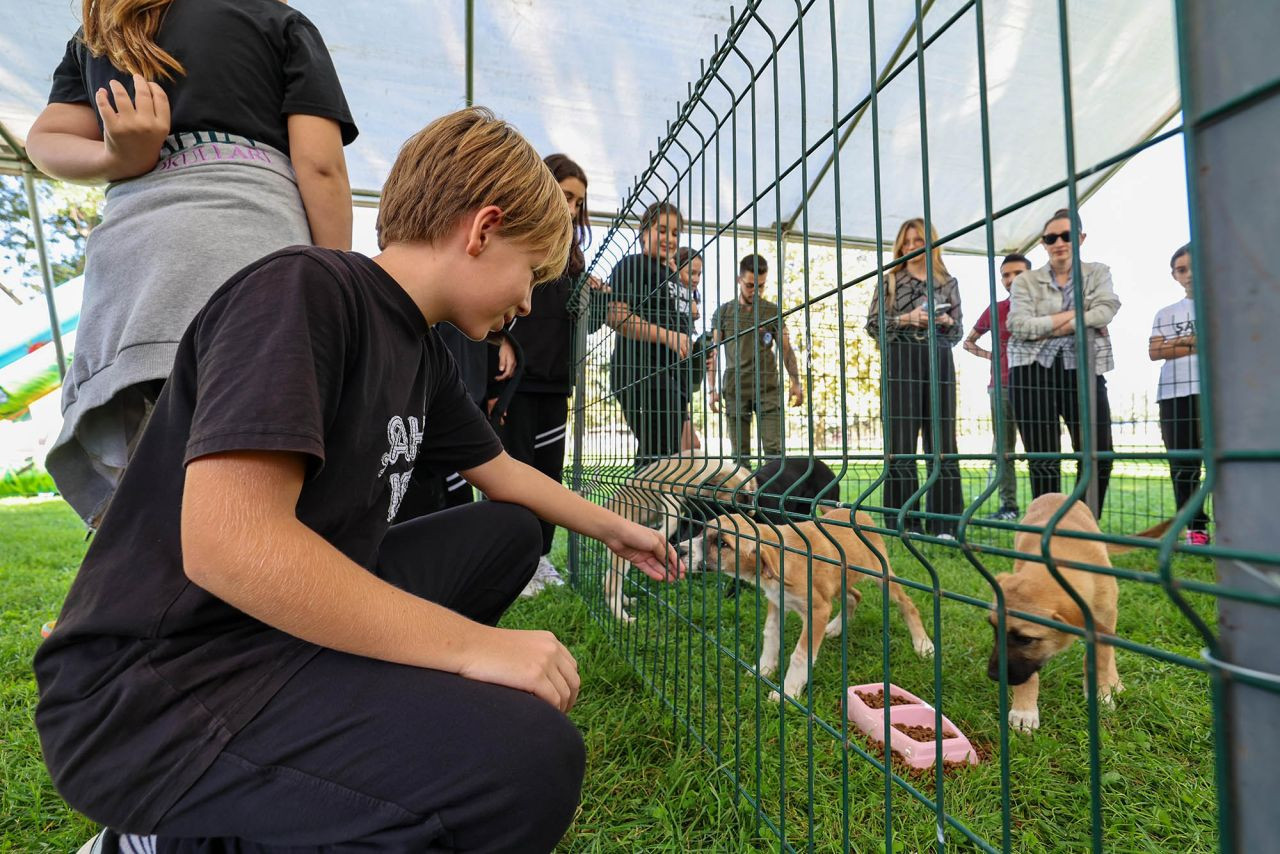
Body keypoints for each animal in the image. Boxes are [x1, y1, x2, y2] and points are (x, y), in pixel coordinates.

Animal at [604, 453, 752, 622]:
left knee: (608, 579)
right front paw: (662, 534)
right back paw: (622, 618)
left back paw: (626, 601)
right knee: (610, 585)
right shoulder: (669, 489)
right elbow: (673, 517)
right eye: (728, 507)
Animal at [696, 507, 936, 701]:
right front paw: (764, 668)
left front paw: (788, 692)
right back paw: (836, 627)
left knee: (907, 604)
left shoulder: (818, 611)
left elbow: (800, 655)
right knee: (854, 596)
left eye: (723, 544)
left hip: (882, 576)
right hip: (837, 584)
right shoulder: (777, 602)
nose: (685, 550)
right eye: (701, 532)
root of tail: (859, 513)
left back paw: (923, 644)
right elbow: (770, 634)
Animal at [988, 494, 1172, 737]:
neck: (1062, 553)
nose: (993, 676)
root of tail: (1055, 494)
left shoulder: (1103, 616)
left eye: (1026, 639)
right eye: (993, 628)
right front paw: (1024, 710)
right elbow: (1031, 675)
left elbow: (1101, 657)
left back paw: (1114, 681)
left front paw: (1101, 693)